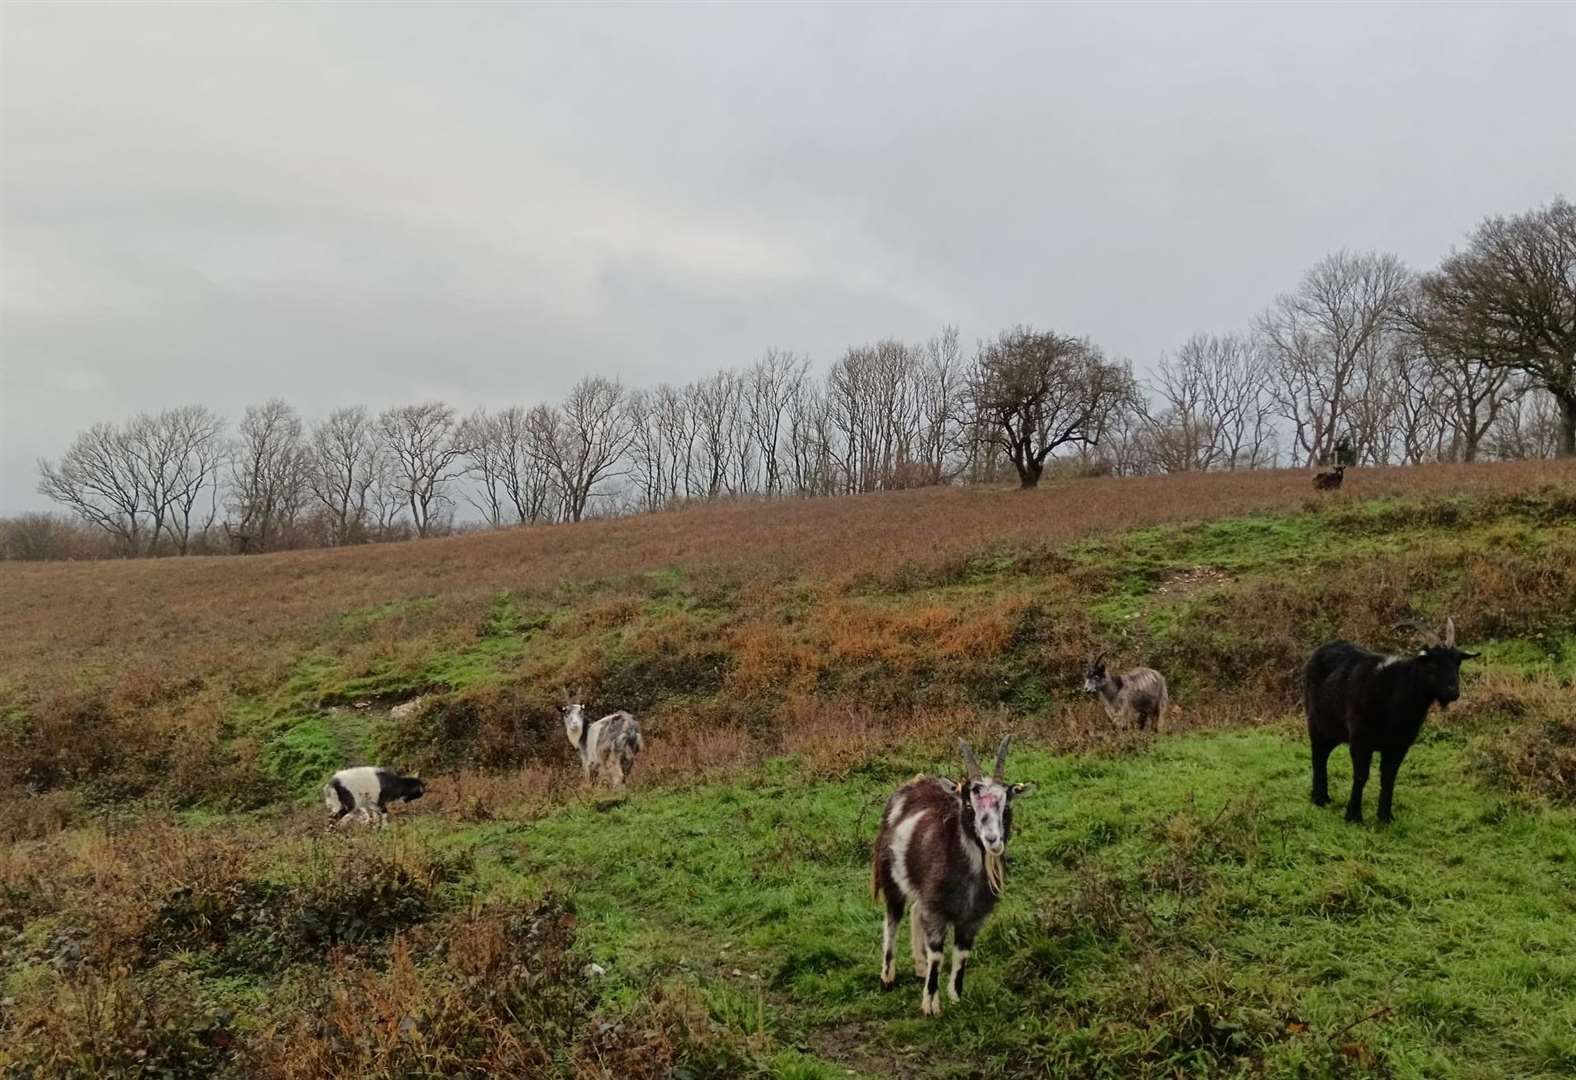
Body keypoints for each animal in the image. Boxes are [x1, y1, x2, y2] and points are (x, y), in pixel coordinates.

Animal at [869, 731, 1027, 1009]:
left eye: (1006, 805)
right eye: (969, 805)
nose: (992, 840)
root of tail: (913, 783)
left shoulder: (974, 916)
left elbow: (961, 954)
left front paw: (955, 996)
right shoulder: (937, 910)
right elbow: (937, 954)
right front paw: (931, 1004)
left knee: (915, 910)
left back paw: (919, 967)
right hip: (891, 876)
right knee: (892, 919)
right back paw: (887, 977)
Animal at [1304, 614, 1475, 826]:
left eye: (1458, 662)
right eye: (1433, 663)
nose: (1453, 692)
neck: (1395, 692)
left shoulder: (1398, 745)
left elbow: (1389, 778)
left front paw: (1385, 817)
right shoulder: (1361, 740)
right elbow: (1361, 775)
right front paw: (1354, 816)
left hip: (1333, 729)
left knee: (1324, 753)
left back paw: (1323, 797)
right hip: (1317, 722)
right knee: (1318, 755)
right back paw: (1319, 798)